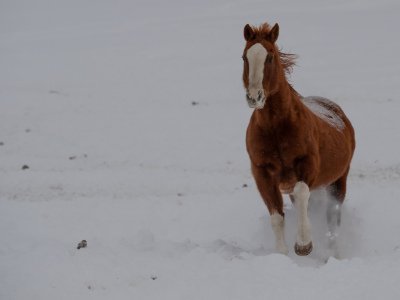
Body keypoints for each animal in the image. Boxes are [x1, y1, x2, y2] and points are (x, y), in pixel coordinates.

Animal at [242, 22, 354, 255]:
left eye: (270, 56)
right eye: (244, 57)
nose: (254, 96)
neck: (276, 129)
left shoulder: (307, 165)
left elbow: (302, 192)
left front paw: (304, 244)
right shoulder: (262, 173)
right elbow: (276, 216)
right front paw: (281, 252)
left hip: (338, 181)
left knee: (333, 218)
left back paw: (332, 252)